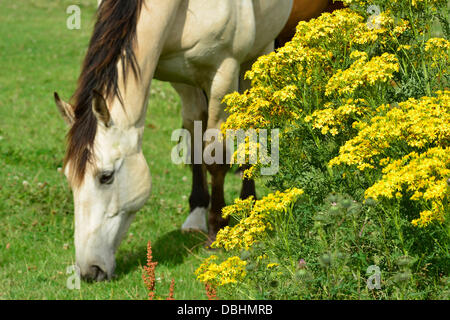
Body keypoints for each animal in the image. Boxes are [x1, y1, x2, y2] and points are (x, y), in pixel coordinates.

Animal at [54, 0, 344, 282]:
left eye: (106, 176)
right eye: (68, 177)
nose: (89, 270)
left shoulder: (224, 71)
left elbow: (216, 157)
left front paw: (216, 231)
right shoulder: (182, 78)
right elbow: (193, 142)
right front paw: (196, 215)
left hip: (258, 54)